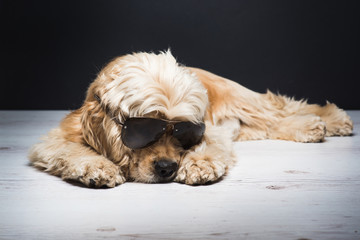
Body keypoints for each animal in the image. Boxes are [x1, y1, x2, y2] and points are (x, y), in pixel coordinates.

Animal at [28, 50, 354, 188]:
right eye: (144, 129)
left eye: (182, 131)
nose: (166, 168)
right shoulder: (58, 137)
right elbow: (71, 150)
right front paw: (97, 167)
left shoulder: (211, 130)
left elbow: (207, 146)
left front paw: (199, 165)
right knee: (271, 123)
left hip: (240, 99)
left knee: (280, 107)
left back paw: (329, 120)